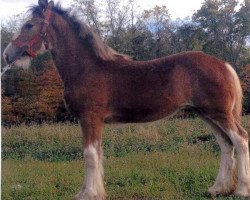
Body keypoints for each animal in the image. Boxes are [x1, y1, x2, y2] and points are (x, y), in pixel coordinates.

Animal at [2, 0, 250, 199]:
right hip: (207, 114)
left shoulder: (90, 118)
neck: (87, 68)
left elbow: (90, 155)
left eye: (29, 25)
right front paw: (92, 192)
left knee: (240, 139)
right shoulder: (94, 121)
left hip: (219, 113)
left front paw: (89, 194)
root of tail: (223, 64)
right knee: (225, 144)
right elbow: (97, 153)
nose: (7, 54)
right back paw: (218, 189)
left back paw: (240, 190)